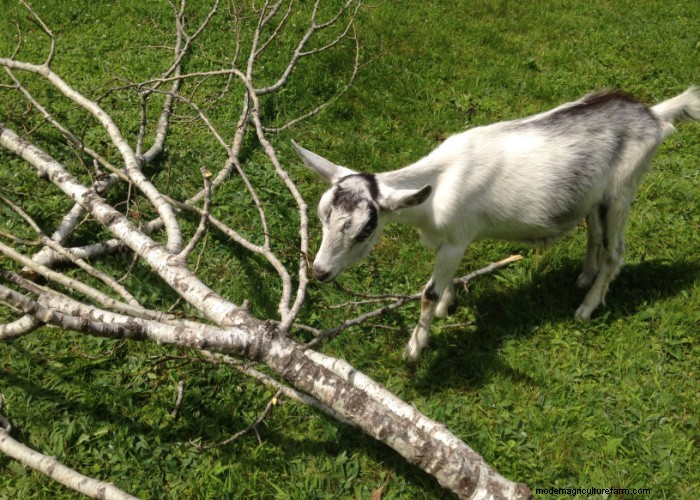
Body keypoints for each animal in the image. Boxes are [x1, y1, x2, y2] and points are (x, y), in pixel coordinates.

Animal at [293, 87, 700, 362]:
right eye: (322, 213)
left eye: (365, 229)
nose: (321, 271)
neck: (437, 187)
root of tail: (654, 116)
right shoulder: (449, 242)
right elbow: (444, 285)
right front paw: (446, 308)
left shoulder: (457, 238)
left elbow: (428, 293)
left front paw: (414, 349)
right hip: (594, 197)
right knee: (595, 235)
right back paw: (584, 278)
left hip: (623, 189)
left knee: (616, 251)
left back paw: (586, 309)